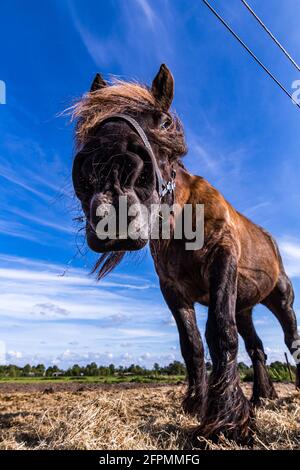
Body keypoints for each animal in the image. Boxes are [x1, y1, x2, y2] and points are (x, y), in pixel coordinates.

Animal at [71, 65, 298, 444]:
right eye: (86, 125)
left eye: (163, 121)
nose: (112, 187)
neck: (182, 219)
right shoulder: (173, 289)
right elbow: (191, 345)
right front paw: (199, 404)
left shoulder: (222, 262)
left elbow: (220, 332)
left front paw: (227, 420)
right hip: (246, 307)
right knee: (258, 348)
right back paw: (263, 397)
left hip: (280, 300)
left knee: (291, 339)